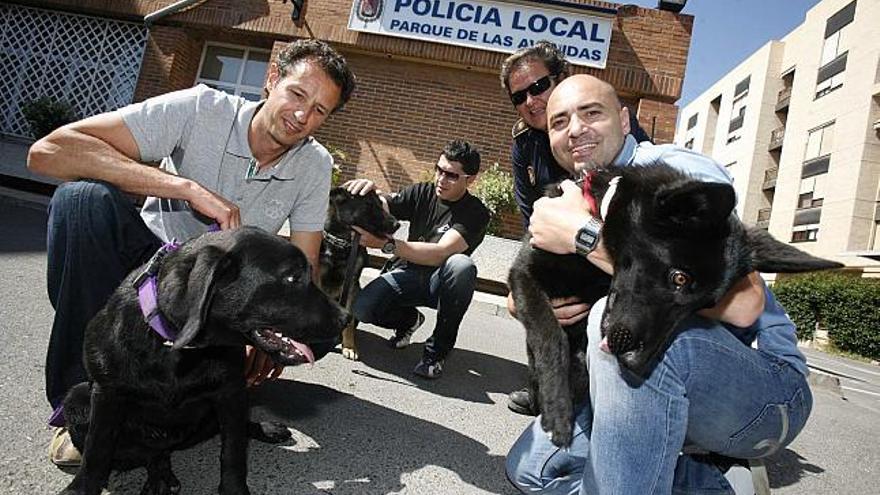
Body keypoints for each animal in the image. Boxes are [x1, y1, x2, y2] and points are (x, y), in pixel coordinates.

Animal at [58, 229, 350, 495]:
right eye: (291, 277)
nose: (345, 318)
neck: (176, 350)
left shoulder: (231, 393)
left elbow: (233, 451)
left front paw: (234, 490)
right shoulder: (107, 395)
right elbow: (97, 449)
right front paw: (80, 488)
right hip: (77, 399)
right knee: (151, 452)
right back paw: (160, 477)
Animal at [320, 186, 398, 360]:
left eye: (380, 203)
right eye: (369, 204)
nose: (397, 225)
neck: (342, 243)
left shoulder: (352, 287)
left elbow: (349, 323)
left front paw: (349, 346)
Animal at [512, 165, 844, 448]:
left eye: (706, 306)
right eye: (679, 278)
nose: (638, 365)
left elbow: (578, 366)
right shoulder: (523, 275)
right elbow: (551, 337)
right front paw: (557, 409)